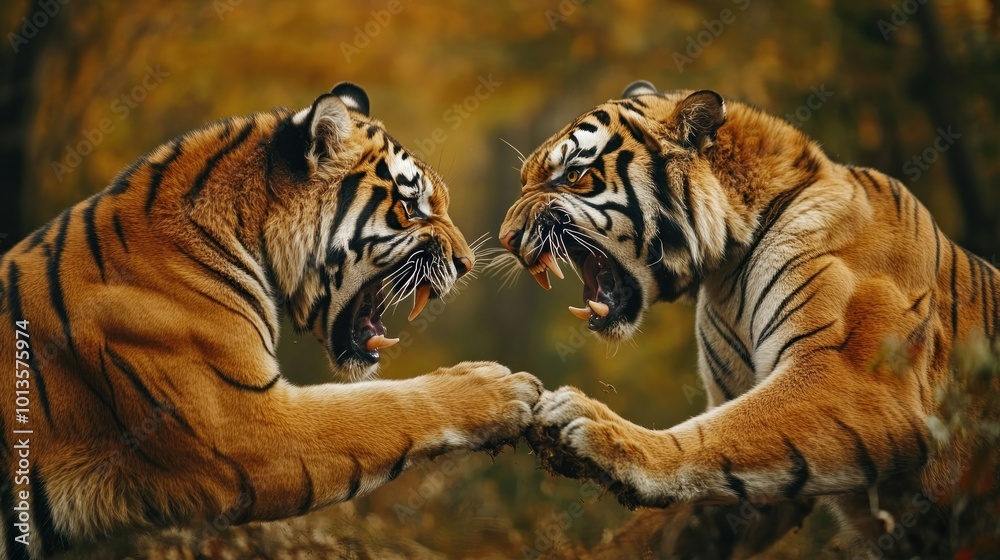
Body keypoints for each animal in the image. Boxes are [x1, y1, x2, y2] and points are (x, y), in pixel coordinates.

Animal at [499, 80, 999, 558]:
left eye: (575, 175)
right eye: (523, 182)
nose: (506, 238)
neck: (726, 268)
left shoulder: (852, 376)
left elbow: (712, 435)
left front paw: (600, 431)